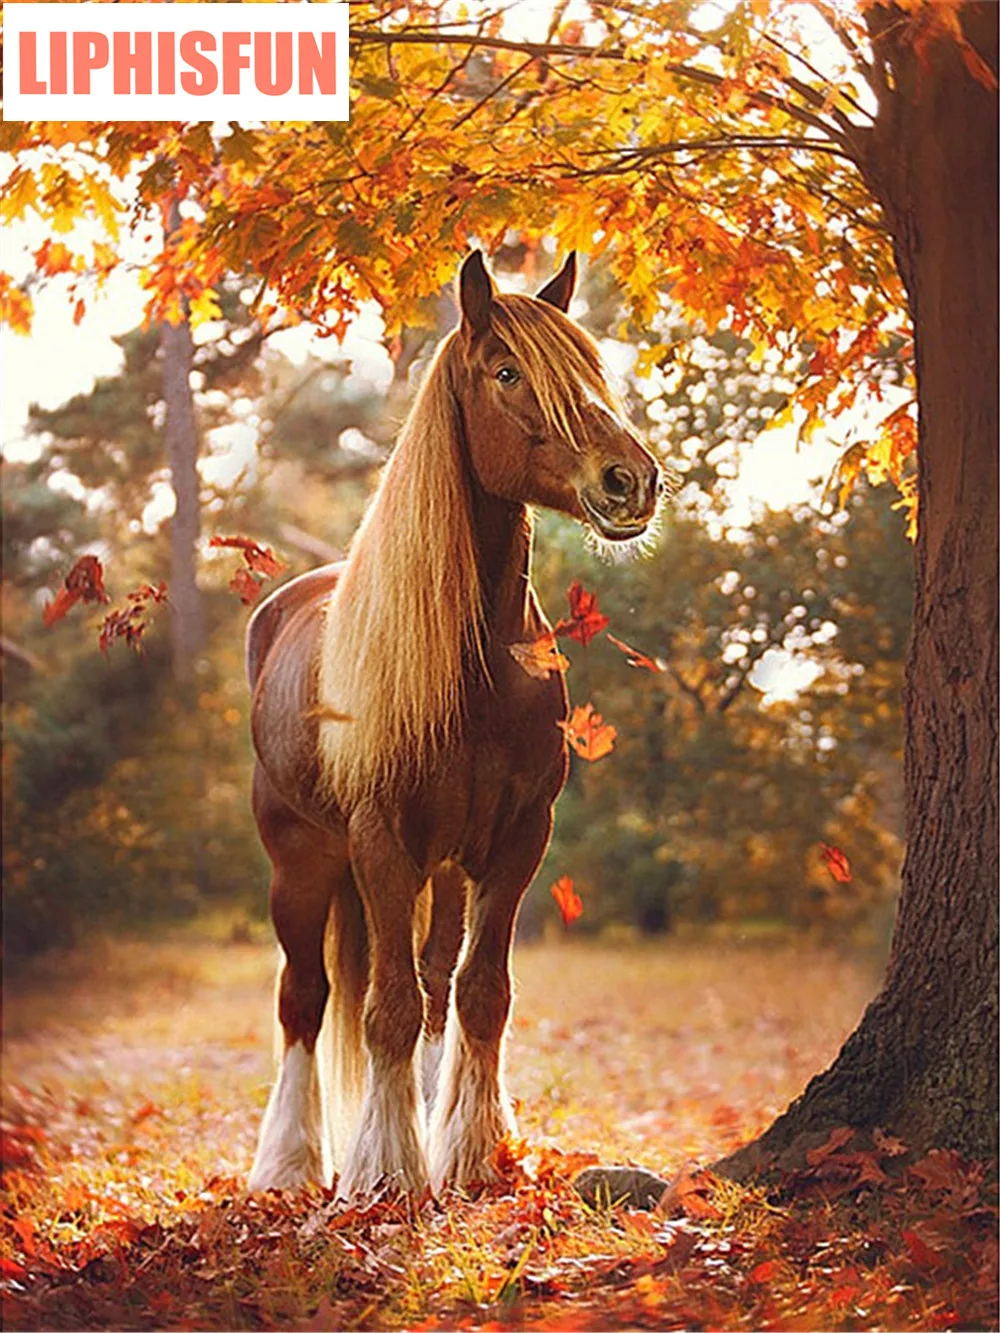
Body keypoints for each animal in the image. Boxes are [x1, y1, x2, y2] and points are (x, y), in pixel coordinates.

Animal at [246, 249, 662, 1198]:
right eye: (507, 371)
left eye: (592, 367)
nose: (630, 480)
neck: (477, 667)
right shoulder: (380, 839)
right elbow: (386, 1007)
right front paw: (385, 1171)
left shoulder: (515, 839)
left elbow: (478, 992)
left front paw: (469, 1152)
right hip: (302, 861)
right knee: (304, 999)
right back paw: (288, 1163)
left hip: (439, 868)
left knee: (435, 983)